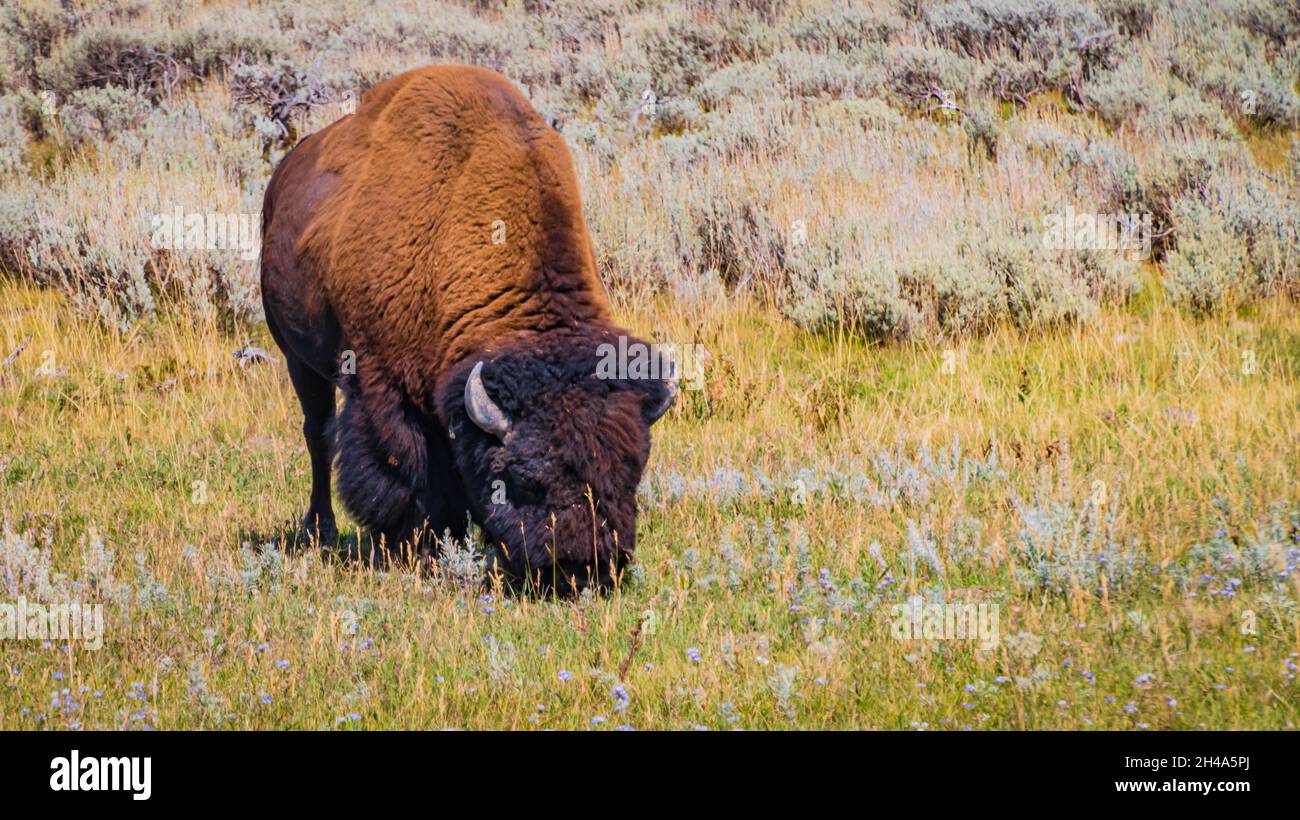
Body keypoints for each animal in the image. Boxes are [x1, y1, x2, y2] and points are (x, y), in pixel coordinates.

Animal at [257, 64, 676, 589]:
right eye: (524, 477)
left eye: (632, 471)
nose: (583, 567)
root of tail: (281, 179)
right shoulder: (385, 386)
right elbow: (406, 465)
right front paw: (420, 546)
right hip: (298, 359)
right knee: (319, 434)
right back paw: (321, 530)